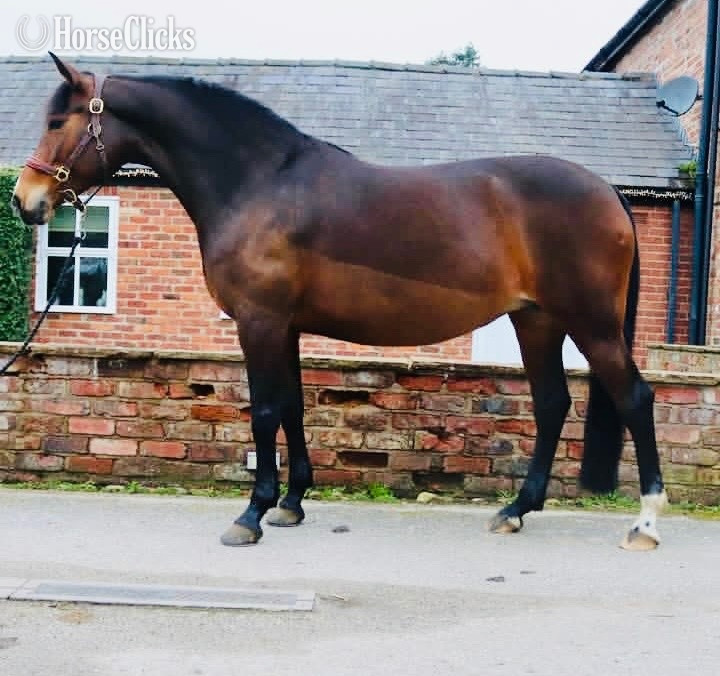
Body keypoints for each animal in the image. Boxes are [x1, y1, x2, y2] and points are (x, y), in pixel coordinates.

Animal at [12, 53, 668, 551]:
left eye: (60, 119)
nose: (26, 199)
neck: (259, 182)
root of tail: (607, 190)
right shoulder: (286, 327)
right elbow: (293, 408)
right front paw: (291, 504)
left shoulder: (260, 322)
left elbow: (265, 411)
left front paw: (251, 515)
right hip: (537, 321)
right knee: (552, 404)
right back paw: (515, 510)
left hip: (591, 323)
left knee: (634, 398)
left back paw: (644, 524)